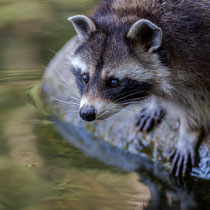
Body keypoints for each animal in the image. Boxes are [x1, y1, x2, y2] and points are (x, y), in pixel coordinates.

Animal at [66, 0, 210, 176]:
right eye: (85, 78)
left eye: (113, 82)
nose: (86, 113)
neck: (130, 12)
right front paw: (157, 102)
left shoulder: (198, 53)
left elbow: (198, 103)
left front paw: (189, 133)